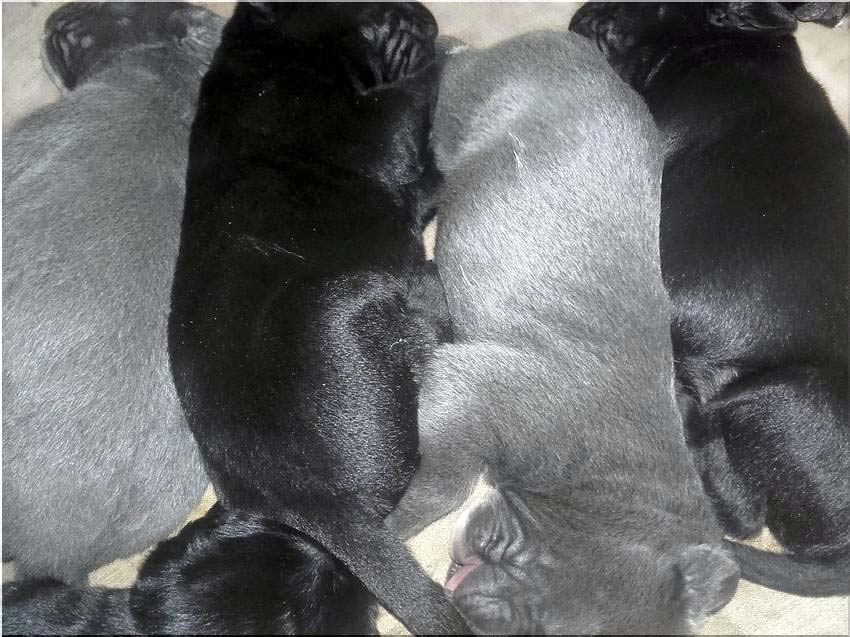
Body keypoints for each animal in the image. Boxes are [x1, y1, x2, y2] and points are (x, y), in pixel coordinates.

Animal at [168, 3, 466, 633]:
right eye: (378, 16)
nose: (428, 18)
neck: (275, 47)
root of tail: (321, 507)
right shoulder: (379, 118)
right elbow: (413, 92)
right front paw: (443, 52)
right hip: (371, 298)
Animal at [384, 29, 739, 634]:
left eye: (541, 628)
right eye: (539, 560)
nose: (473, 603)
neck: (607, 480)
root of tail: (568, 41)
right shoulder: (469, 394)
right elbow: (441, 488)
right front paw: (387, 524)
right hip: (465, 107)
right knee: (454, 71)